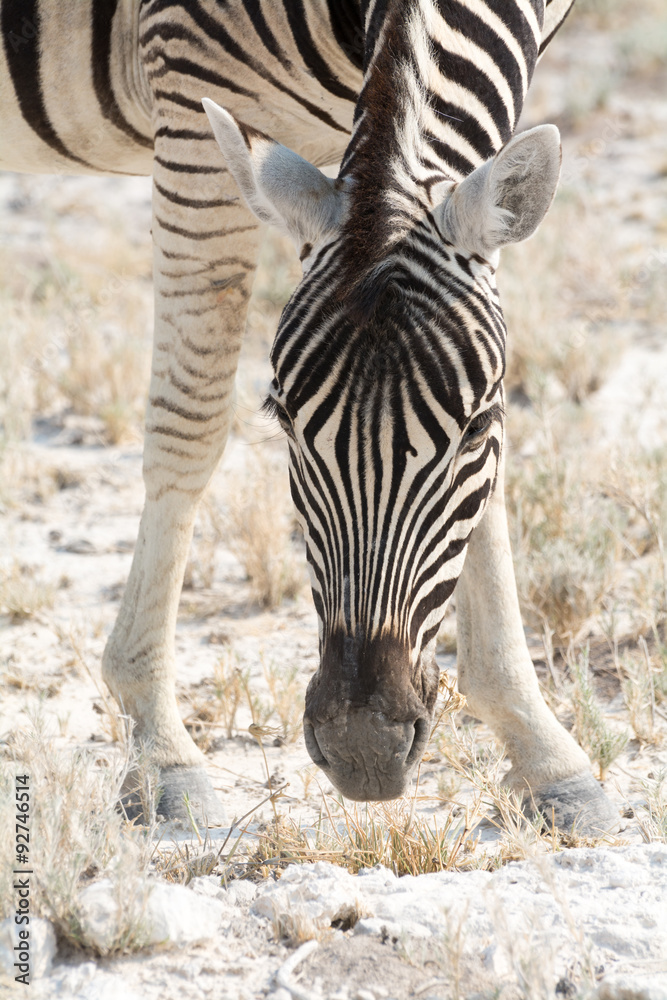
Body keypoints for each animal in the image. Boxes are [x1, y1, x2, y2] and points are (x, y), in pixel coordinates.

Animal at [0, 0, 617, 833]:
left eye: (475, 426)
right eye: (284, 419)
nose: (363, 750)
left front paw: (541, 751)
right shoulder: (194, 98)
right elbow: (190, 423)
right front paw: (160, 750)